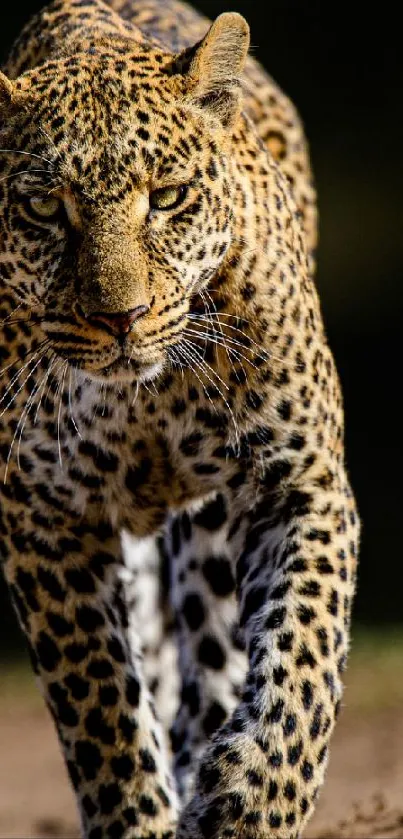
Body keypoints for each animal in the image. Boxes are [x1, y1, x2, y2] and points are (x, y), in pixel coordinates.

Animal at [0, 1, 360, 839]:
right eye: (43, 207)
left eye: (166, 197)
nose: (120, 318)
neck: (147, 394)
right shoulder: (44, 516)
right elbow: (102, 708)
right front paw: (141, 816)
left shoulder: (299, 483)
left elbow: (302, 659)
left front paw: (252, 802)